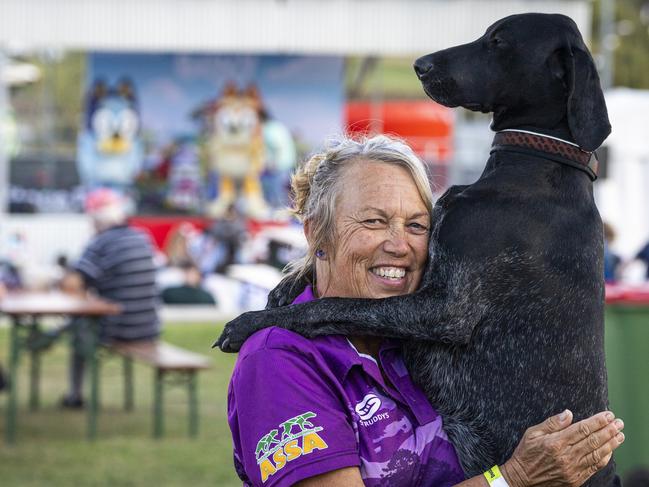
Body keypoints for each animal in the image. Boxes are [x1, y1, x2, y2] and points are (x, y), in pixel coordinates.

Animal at [216, 13, 612, 486]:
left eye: (497, 41)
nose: (421, 65)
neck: (540, 161)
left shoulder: (446, 308)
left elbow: (331, 305)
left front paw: (252, 321)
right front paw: (285, 285)